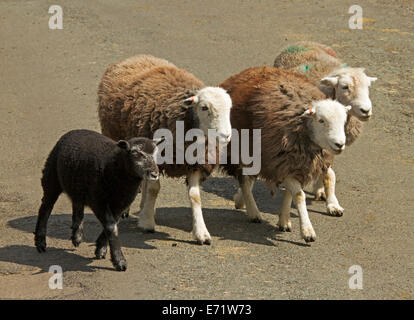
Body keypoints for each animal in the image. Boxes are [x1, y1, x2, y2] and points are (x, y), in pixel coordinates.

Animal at [34, 129, 161, 272]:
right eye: (135, 153)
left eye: (156, 153)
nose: (154, 174)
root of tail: (75, 131)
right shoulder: (98, 200)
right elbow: (111, 226)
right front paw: (119, 261)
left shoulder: (120, 204)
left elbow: (112, 224)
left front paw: (101, 249)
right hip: (52, 177)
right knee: (45, 207)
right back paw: (40, 242)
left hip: (77, 184)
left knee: (77, 204)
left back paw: (77, 236)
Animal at [98, 54, 233, 245]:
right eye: (204, 107)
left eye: (229, 108)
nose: (226, 136)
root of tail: (135, 57)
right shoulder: (159, 157)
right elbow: (155, 188)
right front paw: (147, 223)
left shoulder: (195, 162)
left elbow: (195, 197)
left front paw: (201, 233)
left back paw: (144, 207)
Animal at [220, 67, 352, 242]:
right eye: (321, 120)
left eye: (344, 121)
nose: (340, 144)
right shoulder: (283, 164)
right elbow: (299, 195)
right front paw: (307, 231)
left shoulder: (295, 164)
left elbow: (296, 191)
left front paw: (284, 220)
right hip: (240, 152)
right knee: (244, 180)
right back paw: (253, 212)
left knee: (248, 179)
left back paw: (241, 200)